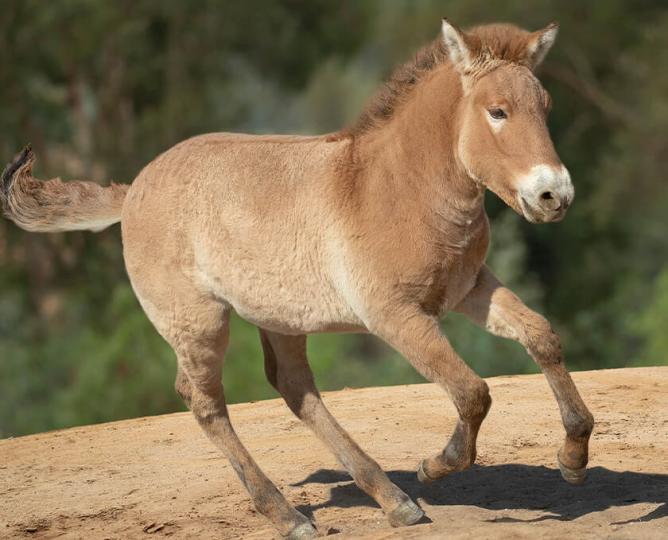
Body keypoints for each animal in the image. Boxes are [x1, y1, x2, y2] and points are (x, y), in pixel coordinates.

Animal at [1, 18, 594, 539]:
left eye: (545, 107)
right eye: (498, 111)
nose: (554, 196)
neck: (399, 188)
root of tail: (133, 192)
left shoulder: (469, 289)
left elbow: (542, 337)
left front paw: (573, 457)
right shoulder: (397, 317)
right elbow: (472, 392)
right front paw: (436, 465)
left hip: (279, 318)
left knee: (293, 388)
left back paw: (393, 501)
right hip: (200, 321)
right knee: (205, 402)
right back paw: (290, 517)